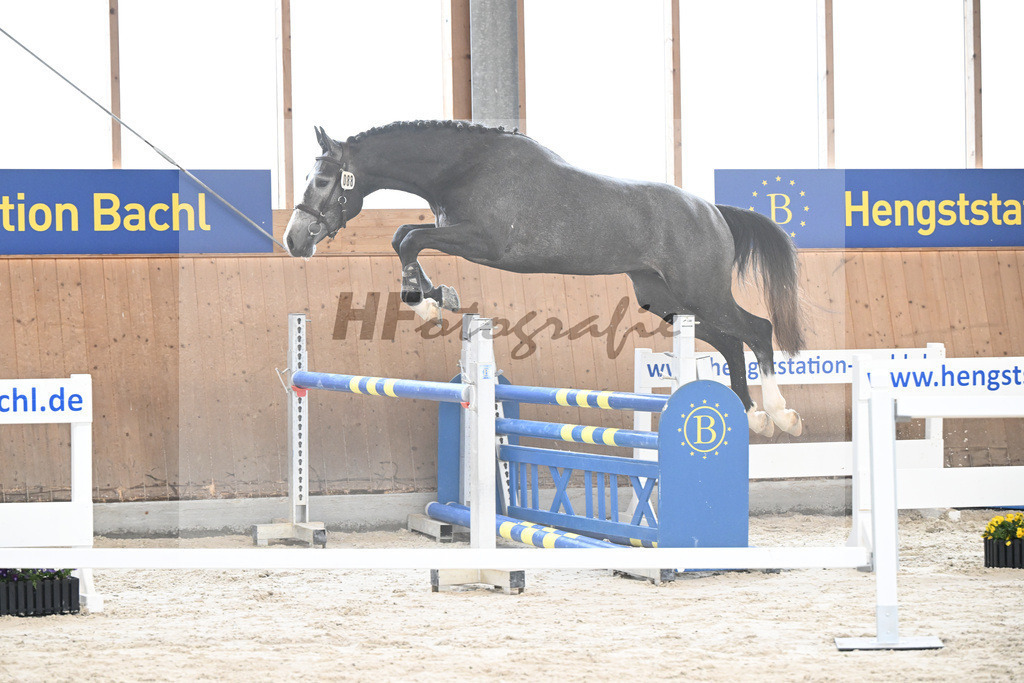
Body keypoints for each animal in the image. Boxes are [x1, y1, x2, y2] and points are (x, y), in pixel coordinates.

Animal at [284, 120, 804, 437]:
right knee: (731, 341)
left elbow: (409, 238)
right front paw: (436, 295)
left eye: (324, 181)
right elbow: (402, 235)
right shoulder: (457, 232)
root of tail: (712, 210)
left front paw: (427, 299)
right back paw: (753, 417)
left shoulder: (483, 242)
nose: (294, 240)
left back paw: (780, 414)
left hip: (702, 292)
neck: (464, 167)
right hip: (666, 299)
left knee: (757, 330)